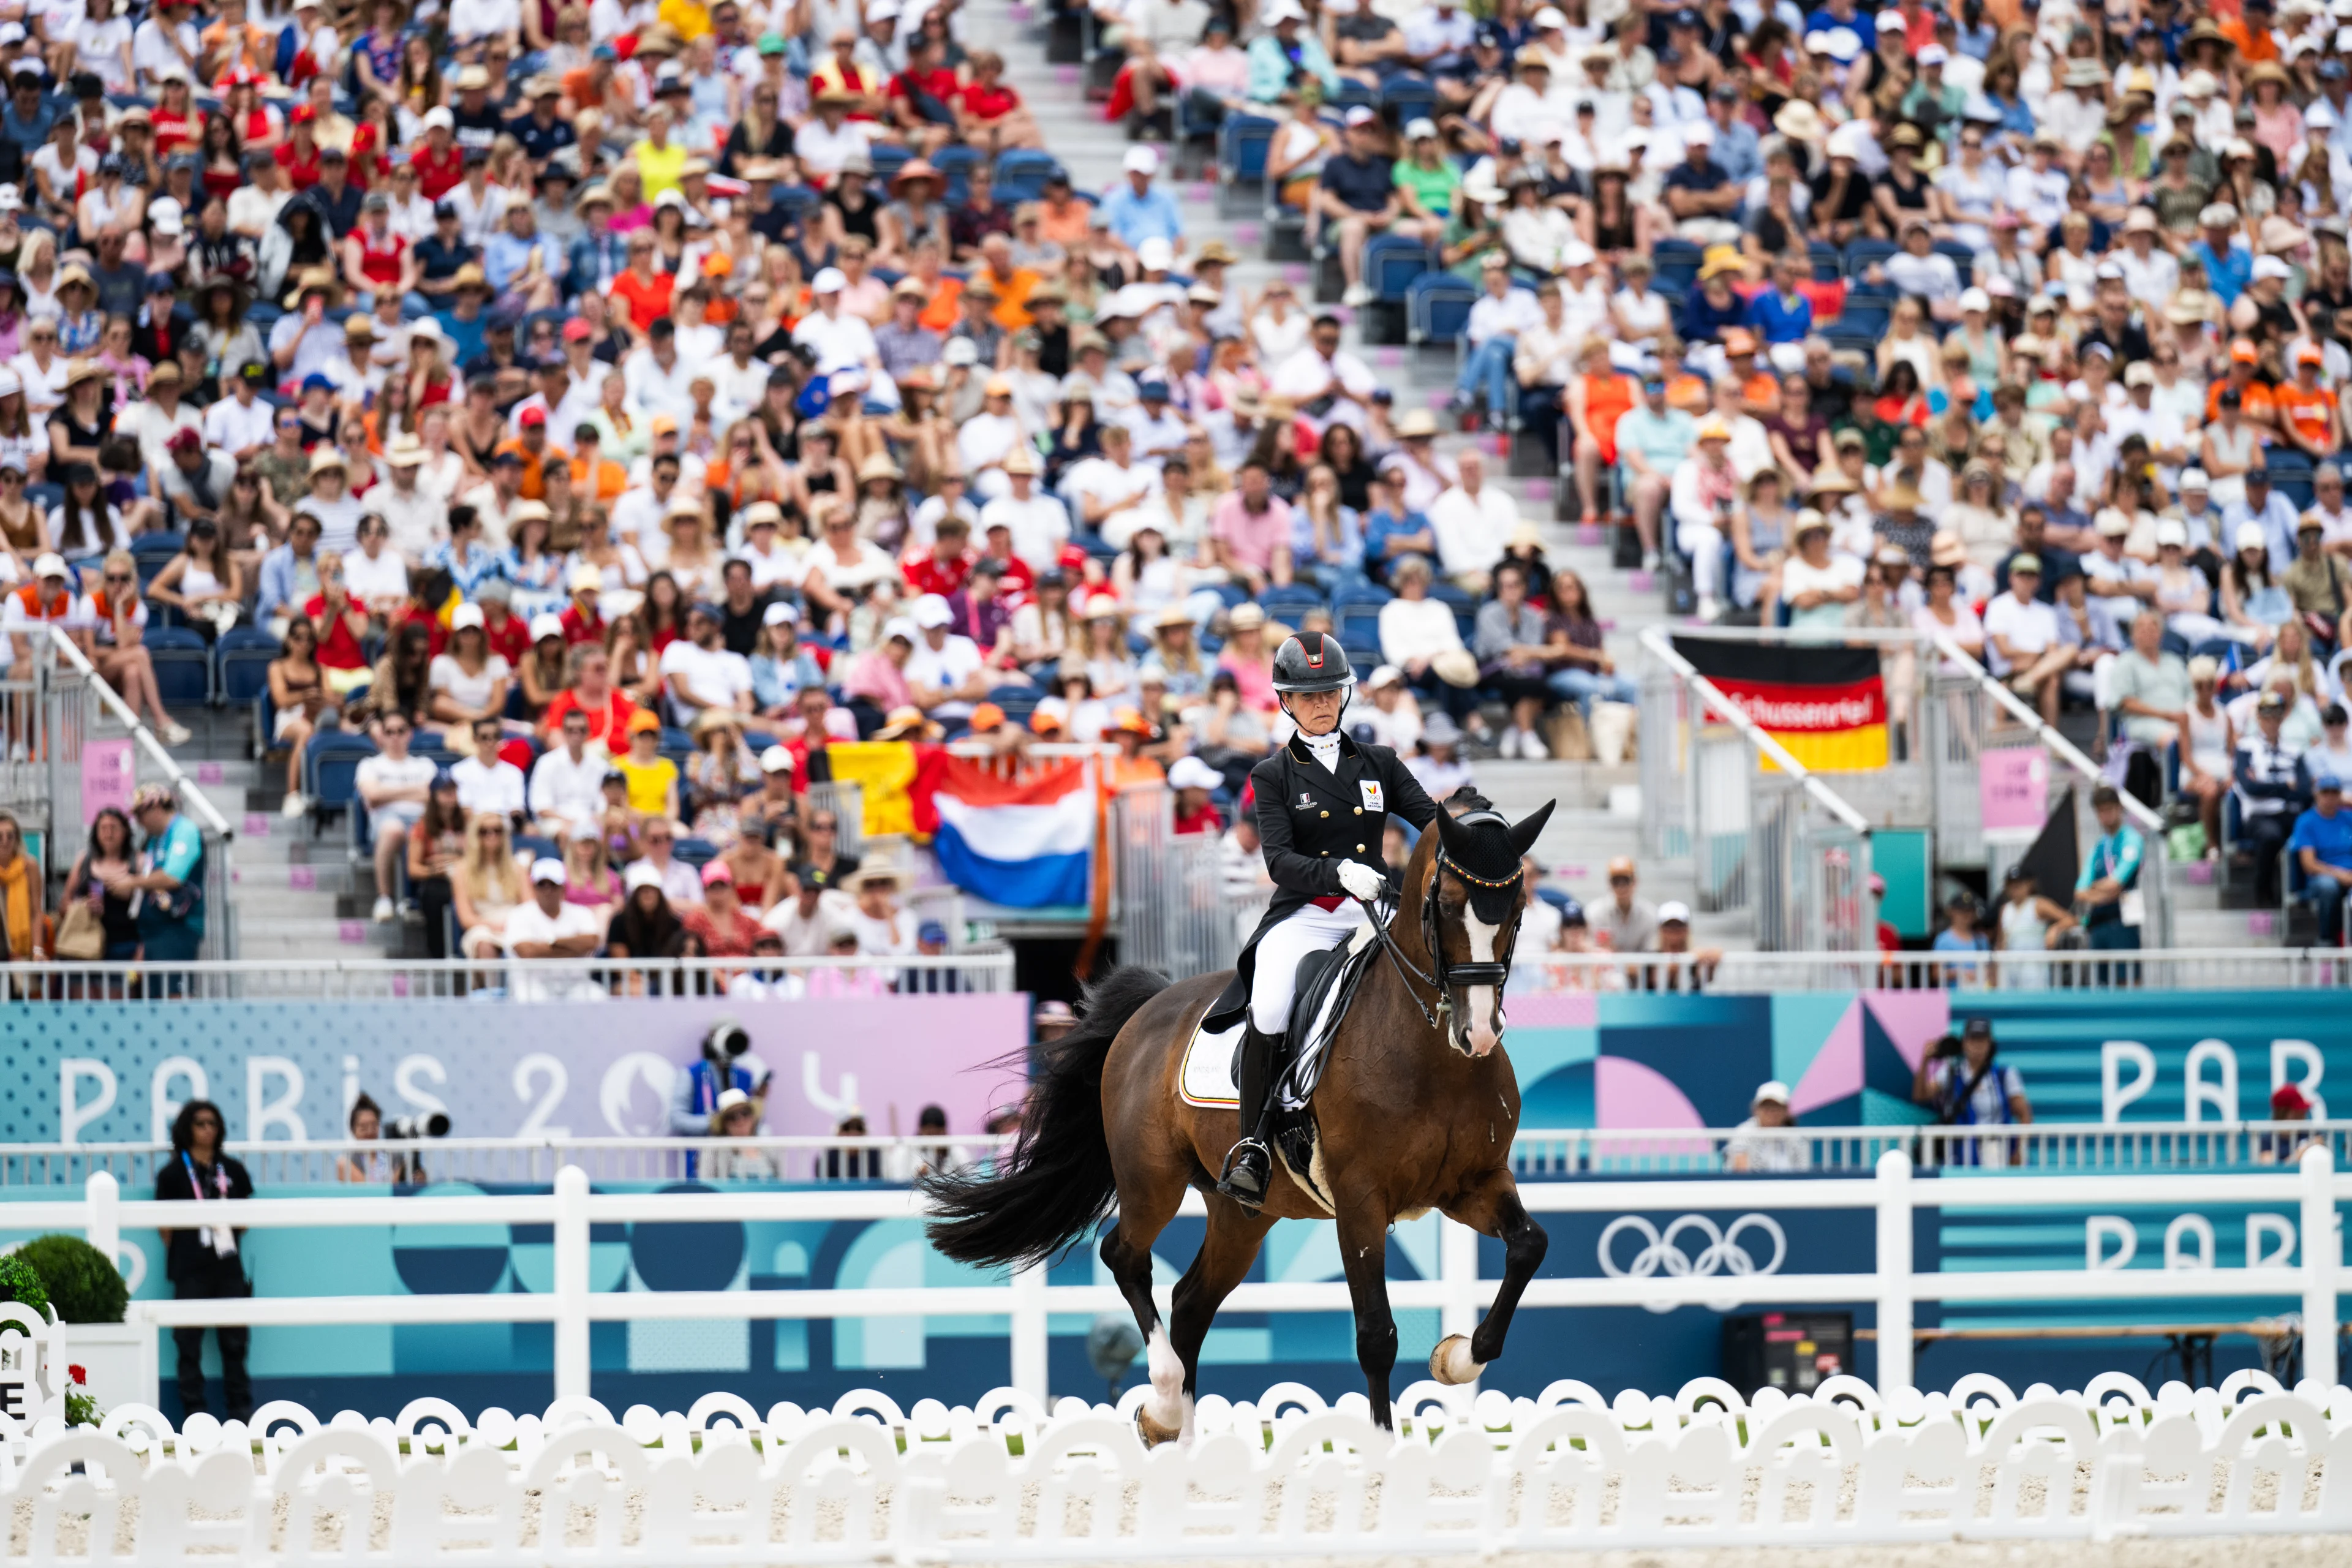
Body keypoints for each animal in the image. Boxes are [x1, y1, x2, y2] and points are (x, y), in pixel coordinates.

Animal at [922, 799, 1561, 1448]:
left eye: (1516, 911)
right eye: (1447, 905)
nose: (1478, 1033)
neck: (1431, 1053)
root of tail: (1152, 1004)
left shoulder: (1472, 1183)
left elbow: (1529, 1247)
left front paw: (1457, 1358)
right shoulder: (1360, 1201)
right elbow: (1376, 1335)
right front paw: (1383, 1450)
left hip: (1241, 1213)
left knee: (1191, 1301)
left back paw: (1179, 1435)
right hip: (1151, 1181)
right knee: (1125, 1257)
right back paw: (1163, 1402)